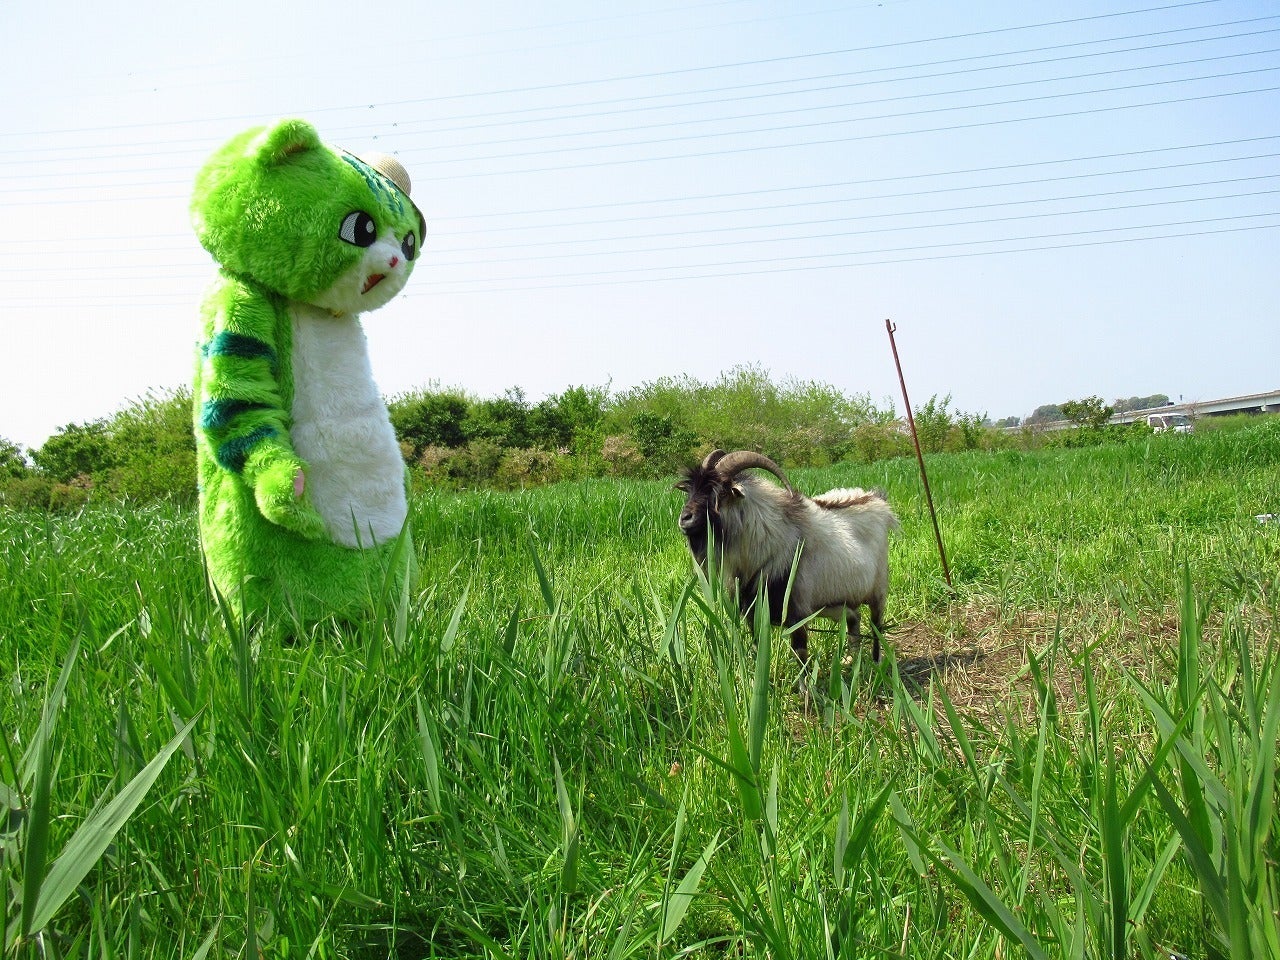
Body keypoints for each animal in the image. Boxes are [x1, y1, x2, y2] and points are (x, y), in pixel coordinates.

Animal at [675, 449, 899, 662]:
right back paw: (852, 660)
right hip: (840, 601)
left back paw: (876, 663)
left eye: (720, 493)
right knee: (854, 619)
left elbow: (800, 654)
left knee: (876, 626)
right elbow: (757, 649)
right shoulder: (753, 612)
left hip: (878, 590)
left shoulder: (796, 612)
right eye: (691, 490)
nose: (685, 519)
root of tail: (878, 500)